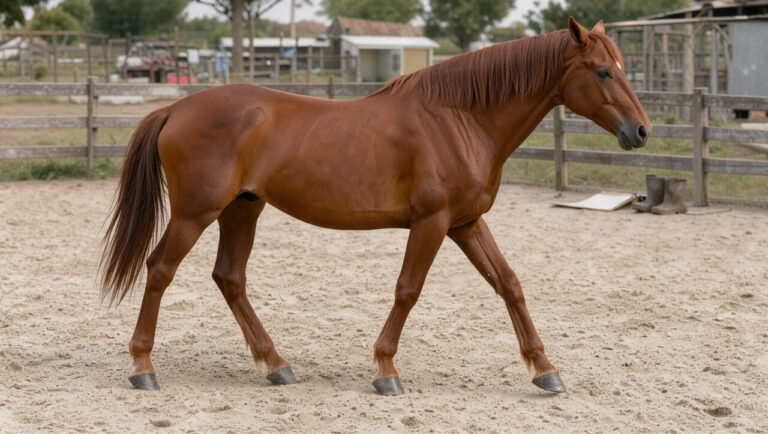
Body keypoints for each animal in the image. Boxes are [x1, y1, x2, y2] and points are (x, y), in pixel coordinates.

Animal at [101, 18, 650, 396]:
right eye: (603, 71)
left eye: (623, 66)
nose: (642, 131)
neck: (459, 118)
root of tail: (175, 108)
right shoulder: (432, 223)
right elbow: (408, 290)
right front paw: (386, 370)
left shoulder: (467, 223)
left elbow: (509, 284)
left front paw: (545, 368)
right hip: (196, 213)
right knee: (160, 269)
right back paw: (143, 367)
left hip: (243, 210)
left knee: (230, 279)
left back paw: (277, 364)